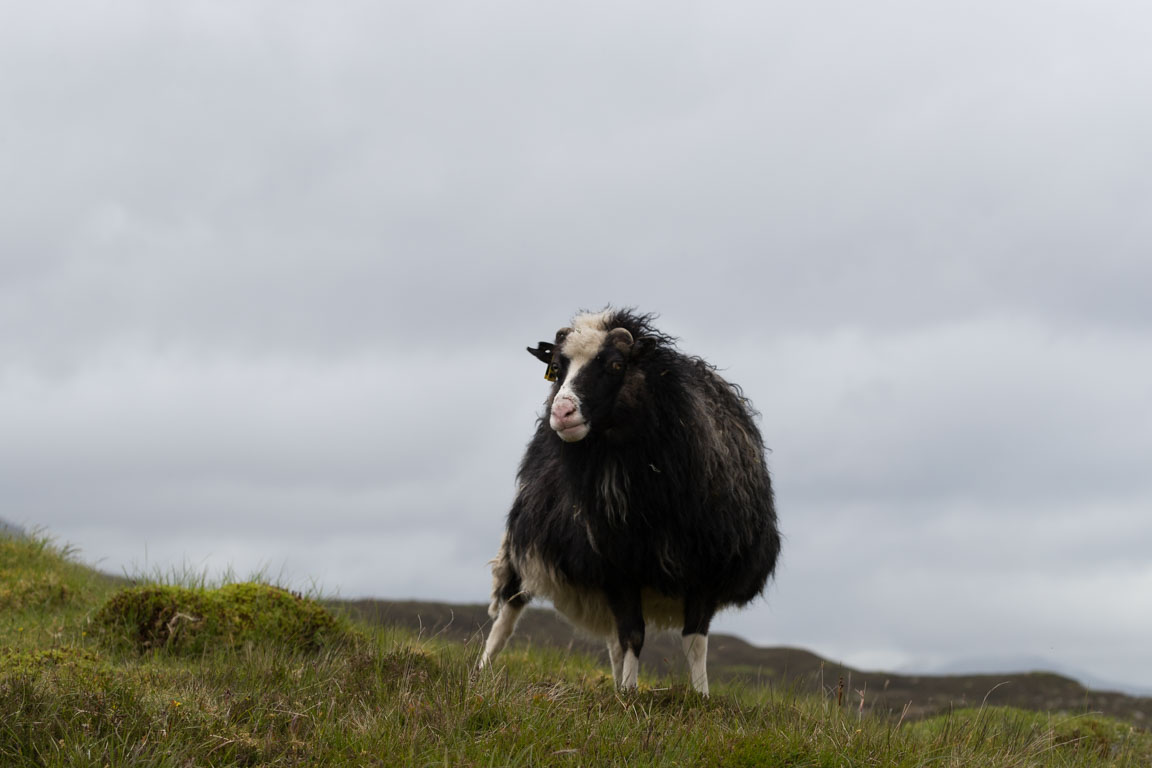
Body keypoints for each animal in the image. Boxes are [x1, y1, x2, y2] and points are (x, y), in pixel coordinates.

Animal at [476, 308, 783, 695]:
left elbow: (695, 641)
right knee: (508, 614)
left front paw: (700, 695)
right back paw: (481, 672)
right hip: (525, 546)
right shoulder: (617, 566)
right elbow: (633, 634)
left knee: (611, 639)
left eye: (615, 365)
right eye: (557, 368)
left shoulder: (708, 568)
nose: (561, 413)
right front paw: (628, 695)